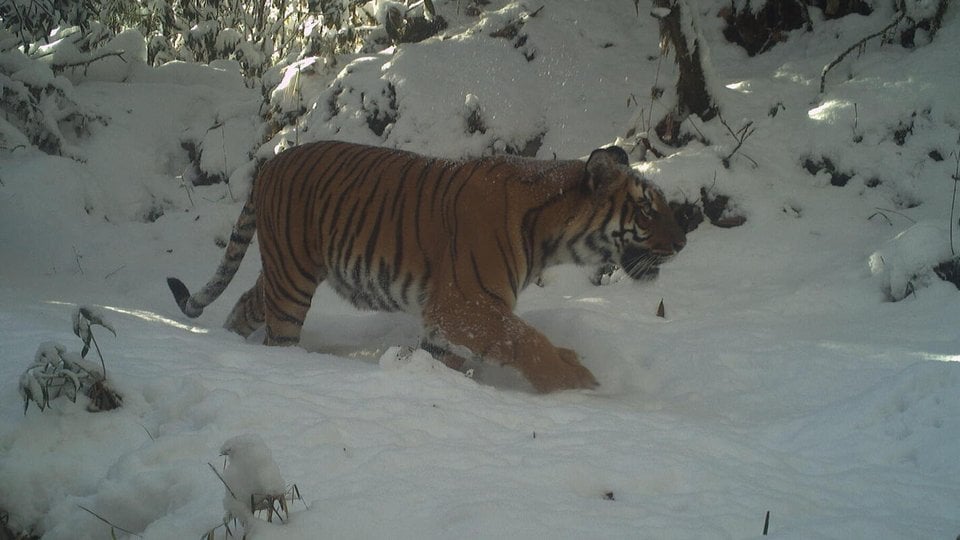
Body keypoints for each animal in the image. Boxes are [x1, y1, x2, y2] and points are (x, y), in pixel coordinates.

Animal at [167, 140, 686, 393]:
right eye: (646, 211)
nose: (683, 240)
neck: (549, 235)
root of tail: (270, 163)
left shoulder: (449, 318)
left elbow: (448, 358)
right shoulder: (464, 304)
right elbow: (524, 339)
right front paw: (577, 381)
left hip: (284, 270)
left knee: (244, 301)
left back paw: (226, 345)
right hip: (292, 280)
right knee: (278, 334)